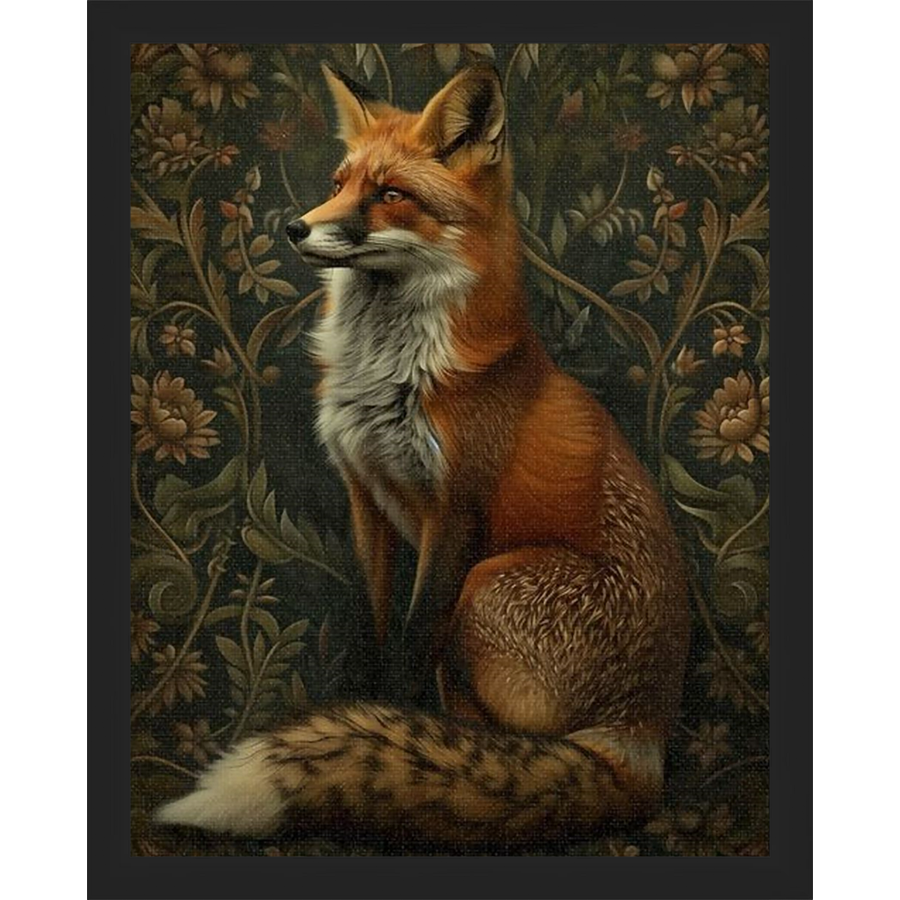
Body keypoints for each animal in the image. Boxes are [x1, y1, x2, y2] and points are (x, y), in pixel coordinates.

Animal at [156, 62, 691, 848]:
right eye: (340, 180)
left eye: (390, 195)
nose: (295, 227)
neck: (391, 374)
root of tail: (640, 739)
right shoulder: (367, 499)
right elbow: (384, 627)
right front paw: (381, 715)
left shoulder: (454, 513)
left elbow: (413, 640)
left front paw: (397, 729)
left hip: (490, 582)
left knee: (500, 730)